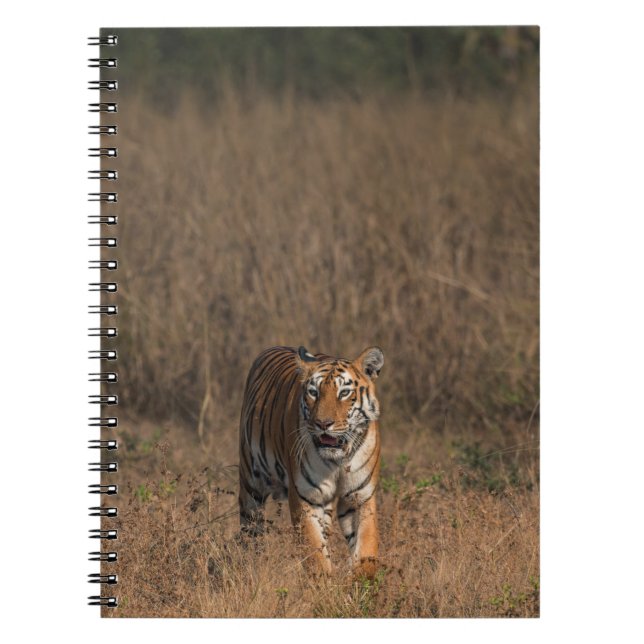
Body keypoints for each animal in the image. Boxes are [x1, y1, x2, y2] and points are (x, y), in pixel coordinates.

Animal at [238, 345, 384, 578]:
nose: (323, 424)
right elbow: (315, 555)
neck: (338, 460)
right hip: (251, 485)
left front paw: (360, 582)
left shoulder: (360, 497)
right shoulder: (306, 497)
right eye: (313, 392)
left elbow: (366, 550)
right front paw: (325, 584)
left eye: (344, 392)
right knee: (250, 531)